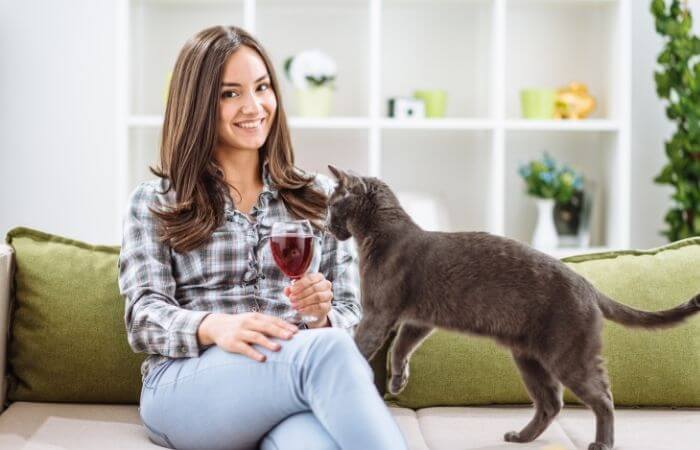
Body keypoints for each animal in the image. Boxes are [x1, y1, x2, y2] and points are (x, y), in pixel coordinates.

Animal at [326, 165, 700, 450]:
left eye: (331, 205)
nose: (327, 226)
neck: (380, 236)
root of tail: (589, 285)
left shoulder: (379, 313)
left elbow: (366, 345)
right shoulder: (418, 319)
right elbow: (401, 349)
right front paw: (397, 383)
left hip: (569, 355)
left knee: (603, 396)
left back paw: (602, 443)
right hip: (528, 357)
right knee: (552, 402)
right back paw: (521, 437)